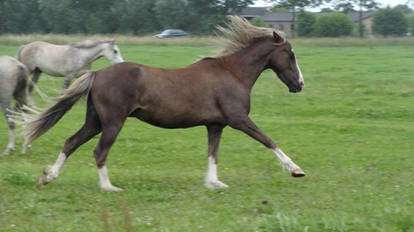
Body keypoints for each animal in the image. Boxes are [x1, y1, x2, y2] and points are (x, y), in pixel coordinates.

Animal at [23, 16, 308, 192]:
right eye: (290, 55)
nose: (300, 84)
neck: (233, 73)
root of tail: (97, 73)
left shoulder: (215, 125)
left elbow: (213, 154)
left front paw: (214, 183)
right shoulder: (239, 120)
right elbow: (268, 140)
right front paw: (296, 170)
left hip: (95, 120)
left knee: (71, 142)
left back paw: (48, 177)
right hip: (113, 122)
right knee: (99, 151)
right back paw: (109, 187)